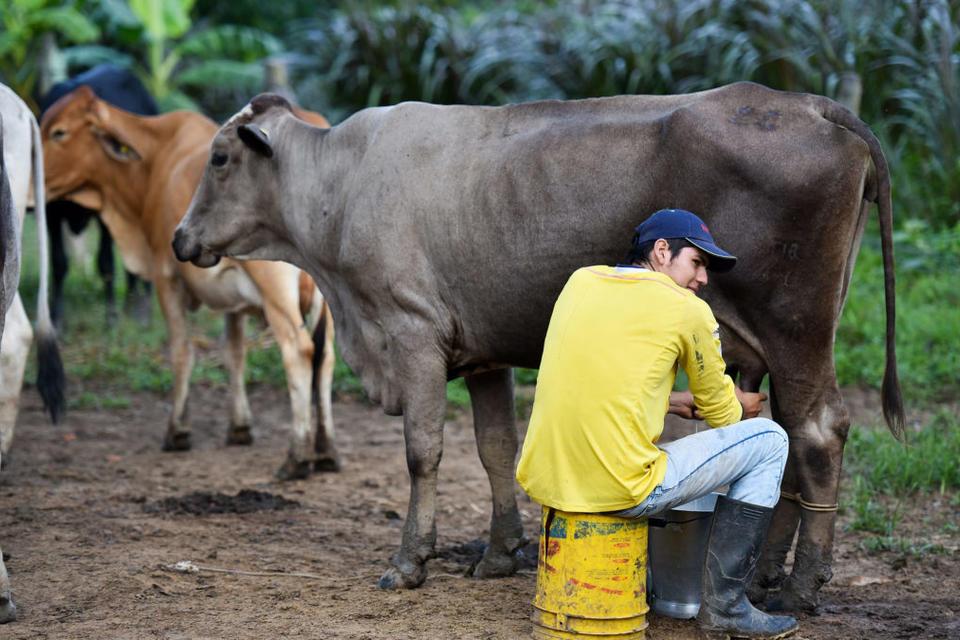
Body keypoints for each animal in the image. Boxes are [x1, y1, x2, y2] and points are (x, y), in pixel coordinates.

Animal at [39, 65, 156, 328]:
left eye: (60, 133)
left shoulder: (106, 215)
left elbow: (105, 263)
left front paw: (111, 317)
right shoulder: (52, 213)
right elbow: (59, 263)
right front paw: (56, 318)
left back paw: (141, 307)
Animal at [42, 89, 342, 480]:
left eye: (59, 132)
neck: (154, 161)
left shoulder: (166, 279)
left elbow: (181, 352)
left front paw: (177, 430)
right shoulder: (235, 300)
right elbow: (234, 353)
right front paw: (239, 426)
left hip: (276, 292)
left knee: (299, 351)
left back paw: (297, 456)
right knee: (326, 355)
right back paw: (327, 450)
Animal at [174, 82, 908, 608]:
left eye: (219, 158)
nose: (181, 239)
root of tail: (807, 103)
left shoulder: (411, 331)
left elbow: (423, 452)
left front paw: (409, 562)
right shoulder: (482, 348)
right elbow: (495, 449)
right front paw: (499, 553)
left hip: (794, 327)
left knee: (817, 430)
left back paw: (800, 585)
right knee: (789, 434)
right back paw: (764, 576)